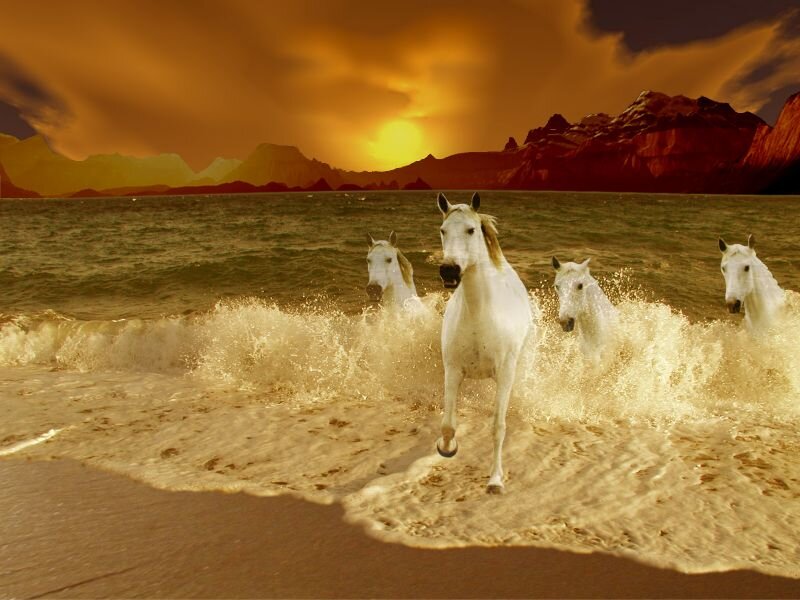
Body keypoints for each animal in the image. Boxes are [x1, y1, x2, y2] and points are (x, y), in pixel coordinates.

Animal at [435, 192, 532, 493]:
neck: (479, 316)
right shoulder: (453, 370)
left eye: (471, 229)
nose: (449, 271)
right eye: (443, 230)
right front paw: (446, 449)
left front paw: (495, 480)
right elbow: (448, 424)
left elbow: (498, 427)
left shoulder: (504, 374)